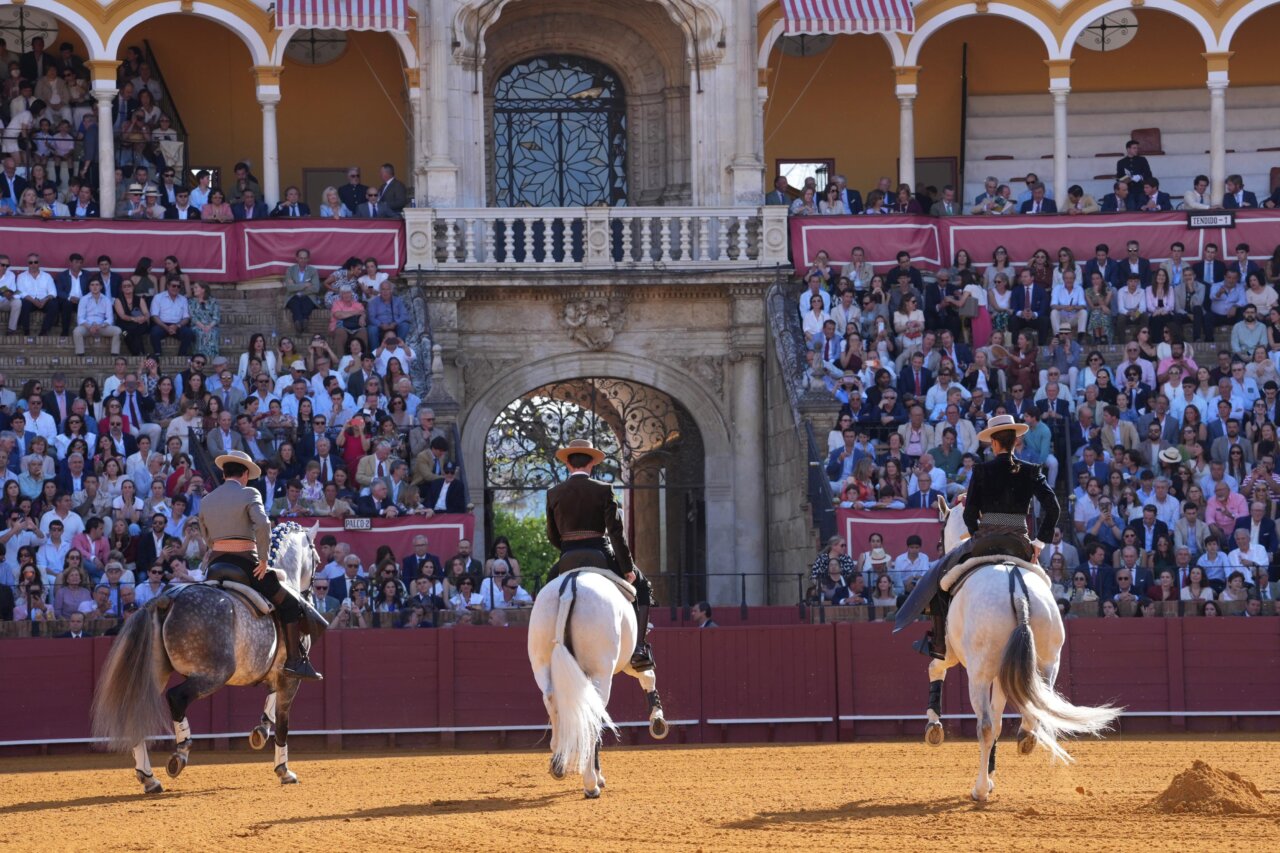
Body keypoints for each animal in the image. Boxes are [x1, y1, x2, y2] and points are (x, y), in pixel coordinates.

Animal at [91, 522, 321, 793]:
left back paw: (149, 778)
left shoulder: (276, 671)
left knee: (136, 712)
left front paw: (261, 732)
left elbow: (271, 702)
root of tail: (165, 599)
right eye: (317, 559)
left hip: (153, 674)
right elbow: (284, 723)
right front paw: (284, 771)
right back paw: (180, 754)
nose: (310, 595)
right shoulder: (291, 677)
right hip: (213, 675)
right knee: (176, 697)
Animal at [528, 568, 668, 798]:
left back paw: (558, 764)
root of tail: (570, 586)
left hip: (541, 665)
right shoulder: (626, 662)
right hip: (601, 673)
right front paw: (657, 719)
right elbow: (648, 675)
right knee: (592, 718)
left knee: (552, 701)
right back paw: (590, 783)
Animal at [926, 496, 1119, 801]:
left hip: (979, 673)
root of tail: (1017, 592)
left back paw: (979, 790)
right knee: (1034, 709)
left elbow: (935, 668)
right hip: (1048, 663)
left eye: (938, 539)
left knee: (985, 725)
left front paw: (934, 727)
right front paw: (992, 774)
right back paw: (1026, 739)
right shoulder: (1005, 673)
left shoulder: (951, 654)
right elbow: (999, 719)